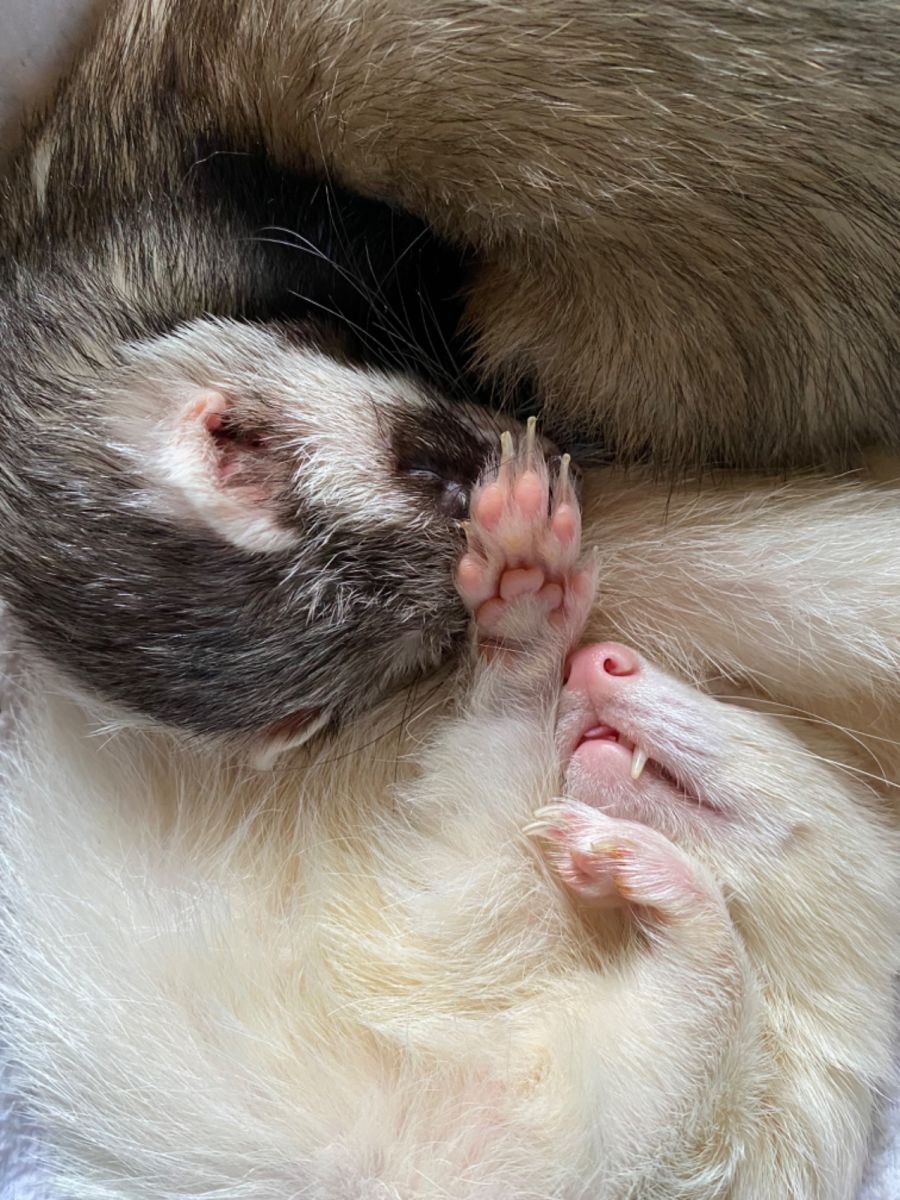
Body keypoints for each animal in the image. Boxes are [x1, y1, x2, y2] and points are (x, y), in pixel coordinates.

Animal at [0, 429, 895, 1198]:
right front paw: (529, 595)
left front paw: (645, 870)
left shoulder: (555, 1135)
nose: (600, 660)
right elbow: (490, 771)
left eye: (745, 705)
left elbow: (678, 1044)